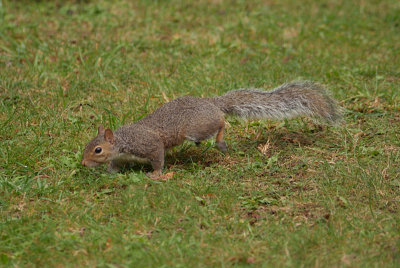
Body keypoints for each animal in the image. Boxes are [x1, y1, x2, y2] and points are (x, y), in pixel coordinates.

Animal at [81, 81, 340, 178]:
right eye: (88, 145)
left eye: (97, 149)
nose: (83, 163)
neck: (123, 140)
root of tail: (211, 103)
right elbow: (115, 164)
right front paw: (110, 172)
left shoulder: (149, 145)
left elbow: (158, 157)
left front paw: (155, 174)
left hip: (197, 127)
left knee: (222, 123)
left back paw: (220, 142)